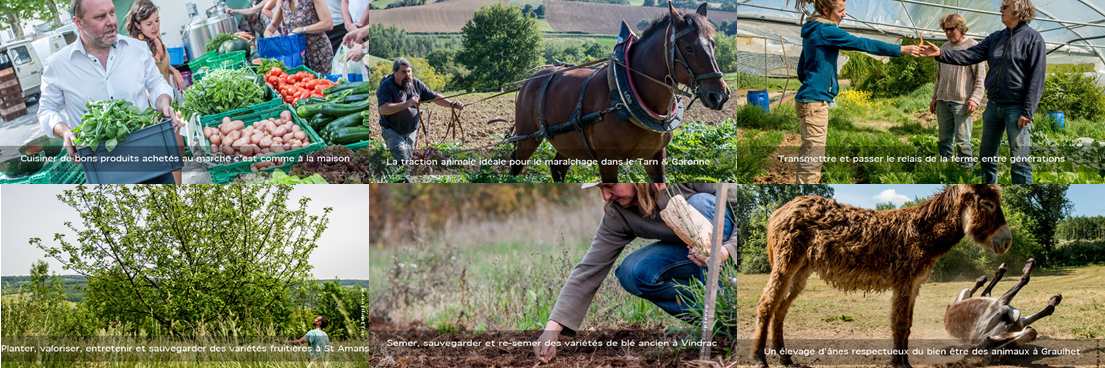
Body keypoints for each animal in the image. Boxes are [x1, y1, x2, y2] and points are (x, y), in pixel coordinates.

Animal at [510, 2, 733, 180]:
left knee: (557, 169)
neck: (627, 96)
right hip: (527, 137)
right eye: (689, 48)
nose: (720, 95)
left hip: (567, 142)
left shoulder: (656, 156)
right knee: (517, 167)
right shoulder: (607, 160)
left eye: (713, 44)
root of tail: (532, 78)